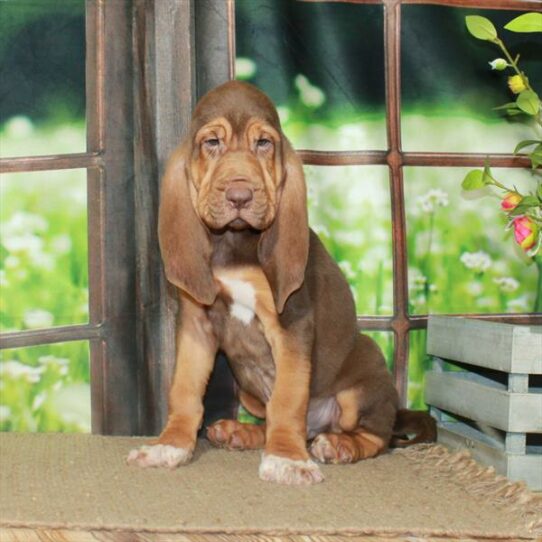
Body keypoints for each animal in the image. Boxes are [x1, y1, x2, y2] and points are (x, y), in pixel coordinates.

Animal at [129, 79, 438, 484]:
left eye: (264, 143)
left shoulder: (291, 325)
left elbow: (288, 399)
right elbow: (184, 389)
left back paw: (339, 445)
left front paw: (287, 459)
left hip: (365, 372)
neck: (234, 245)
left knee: (377, 435)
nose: (240, 195)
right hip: (248, 393)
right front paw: (171, 446)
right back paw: (241, 432)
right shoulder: (196, 324)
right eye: (212, 142)